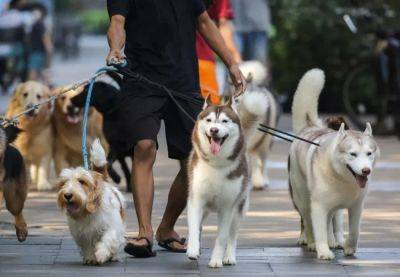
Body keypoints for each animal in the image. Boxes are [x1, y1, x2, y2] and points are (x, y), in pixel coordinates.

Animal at [188, 93, 268, 268]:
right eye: (209, 120)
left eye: (224, 121)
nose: (214, 130)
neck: (216, 163)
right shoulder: (197, 200)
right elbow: (194, 228)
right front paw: (192, 250)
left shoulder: (227, 207)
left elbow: (222, 237)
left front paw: (216, 260)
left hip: (239, 208)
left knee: (233, 235)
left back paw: (229, 257)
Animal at [290, 69, 380, 258]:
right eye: (352, 154)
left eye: (369, 154)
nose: (366, 171)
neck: (344, 179)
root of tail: (309, 127)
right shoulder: (318, 206)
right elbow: (319, 228)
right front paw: (323, 251)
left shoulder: (356, 206)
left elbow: (354, 231)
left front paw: (349, 247)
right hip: (303, 198)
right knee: (308, 221)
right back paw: (311, 242)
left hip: (333, 208)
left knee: (332, 221)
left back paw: (333, 241)